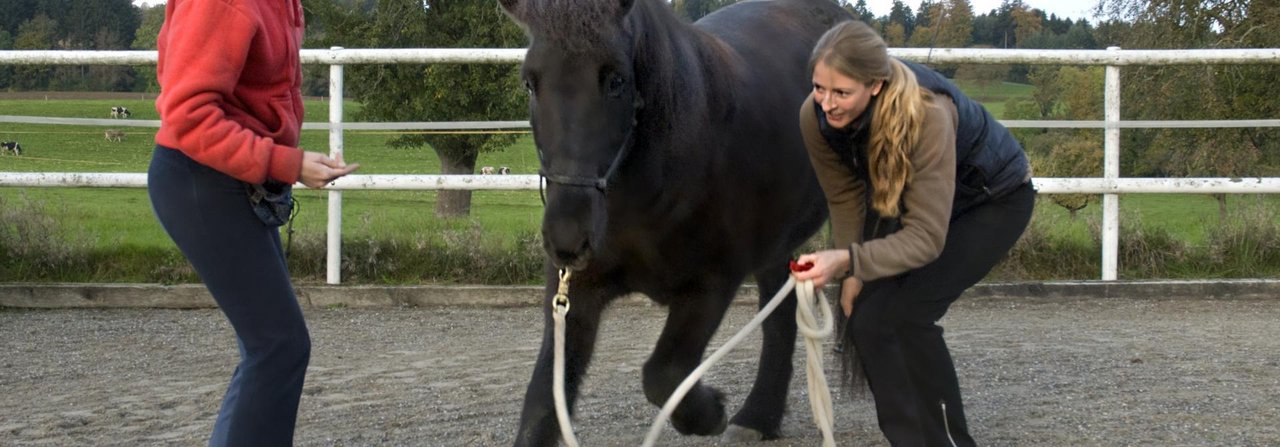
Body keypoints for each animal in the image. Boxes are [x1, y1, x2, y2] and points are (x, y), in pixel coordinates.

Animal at [496, 0, 849, 443]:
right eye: (529, 82)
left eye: (616, 80)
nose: (568, 236)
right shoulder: (575, 294)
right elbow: (543, 405)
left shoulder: (711, 284)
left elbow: (664, 375)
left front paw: (711, 411)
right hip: (775, 244)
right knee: (780, 318)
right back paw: (758, 418)